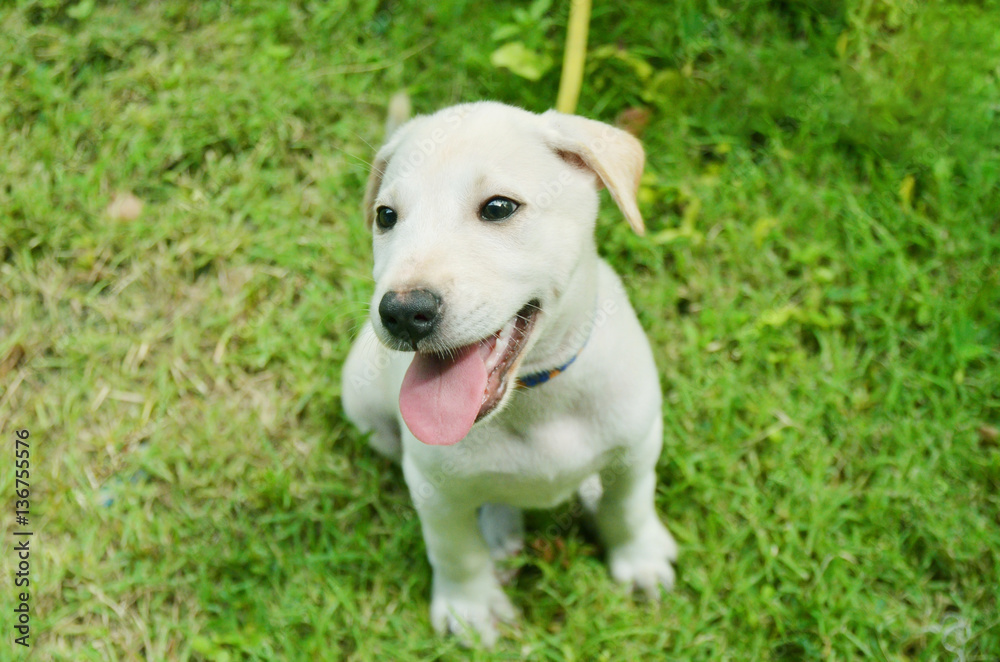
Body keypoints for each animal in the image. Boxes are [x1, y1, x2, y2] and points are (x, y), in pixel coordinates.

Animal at [340, 104, 676, 648]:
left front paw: (639, 560)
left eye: (498, 208)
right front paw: (470, 609)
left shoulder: (639, 446)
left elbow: (629, 506)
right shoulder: (433, 488)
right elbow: (455, 549)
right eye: (385, 217)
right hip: (366, 410)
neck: (537, 395)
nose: (402, 313)